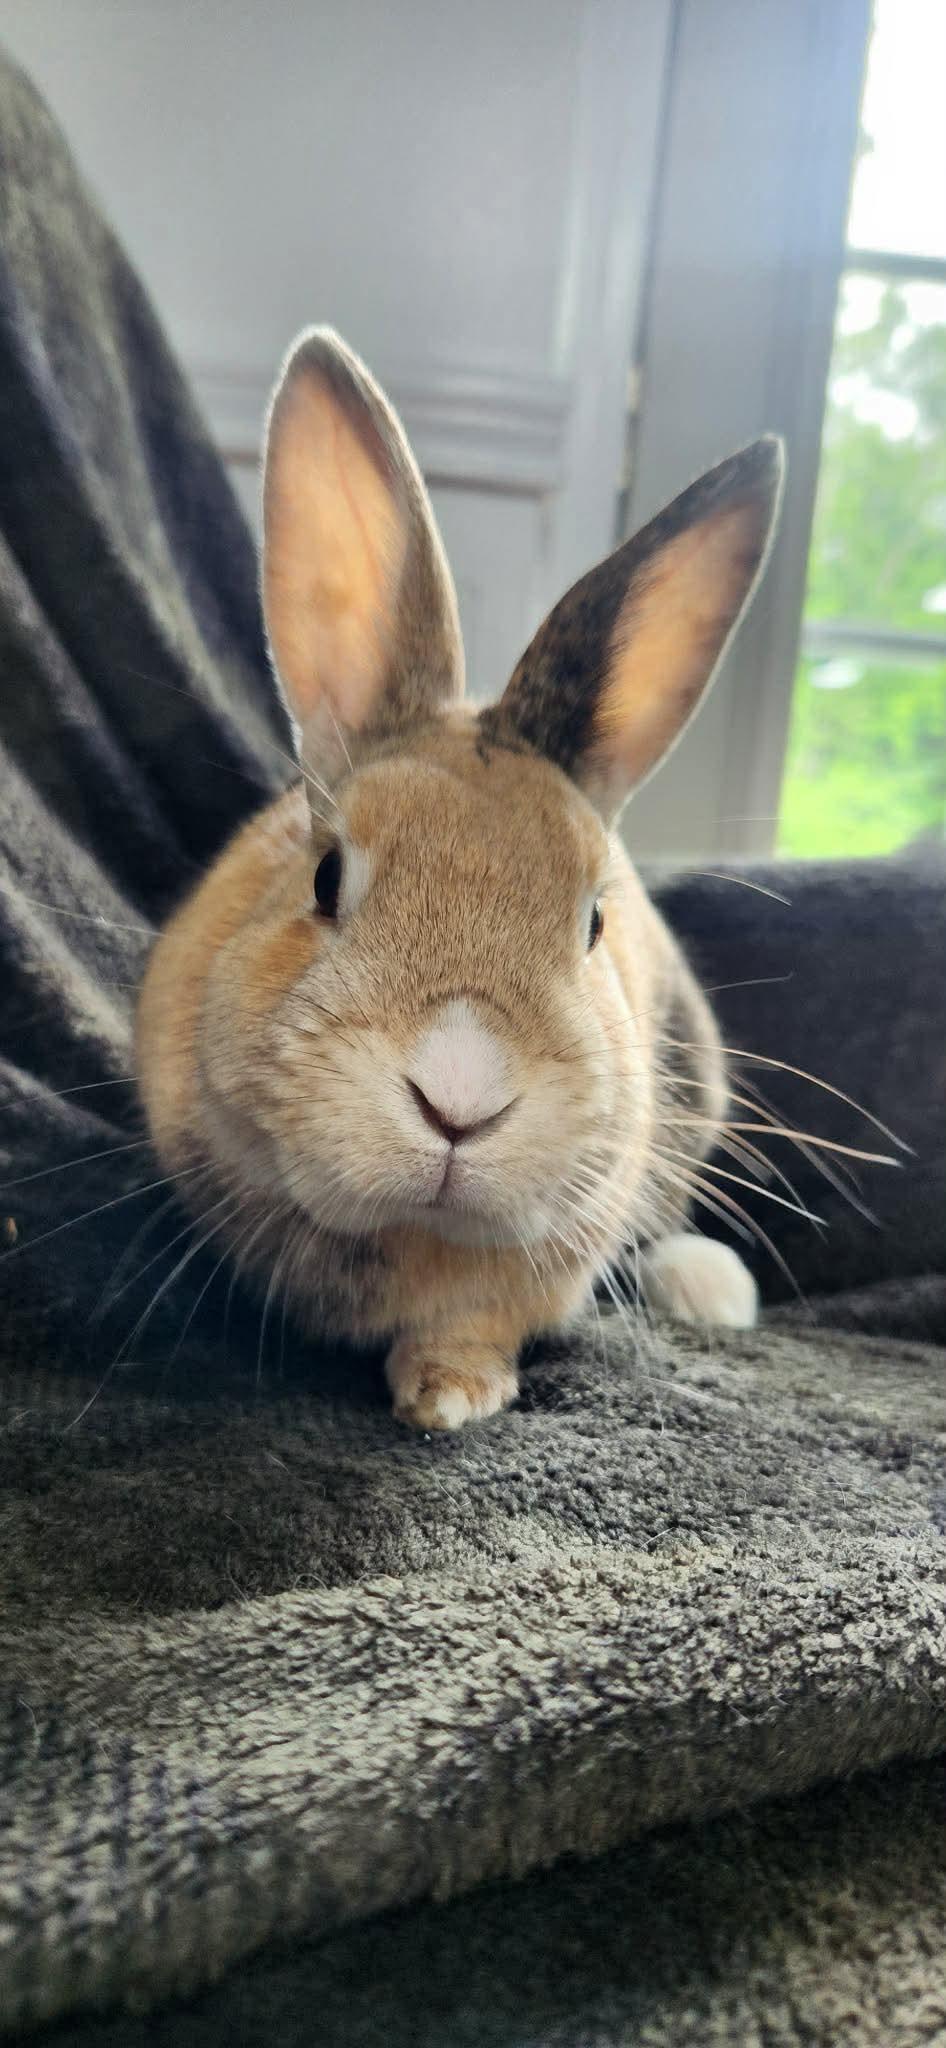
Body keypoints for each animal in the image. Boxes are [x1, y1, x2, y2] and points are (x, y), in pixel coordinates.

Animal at [136, 327, 783, 1430]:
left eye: (592, 921)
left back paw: (710, 1289)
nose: (459, 1101)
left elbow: (477, 1324)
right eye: (324, 877)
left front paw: (448, 1397)